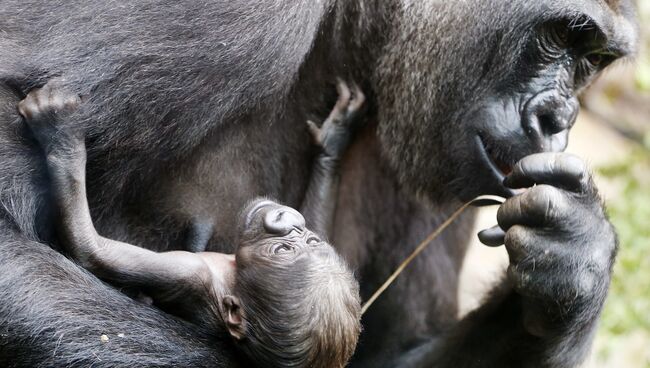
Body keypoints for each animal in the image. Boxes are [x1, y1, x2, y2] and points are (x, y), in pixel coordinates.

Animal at [19, 79, 364, 366]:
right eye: (306, 241)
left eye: (280, 251)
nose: (286, 220)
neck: (231, 272)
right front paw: (333, 141)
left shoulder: (190, 273)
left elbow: (92, 250)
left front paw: (63, 137)